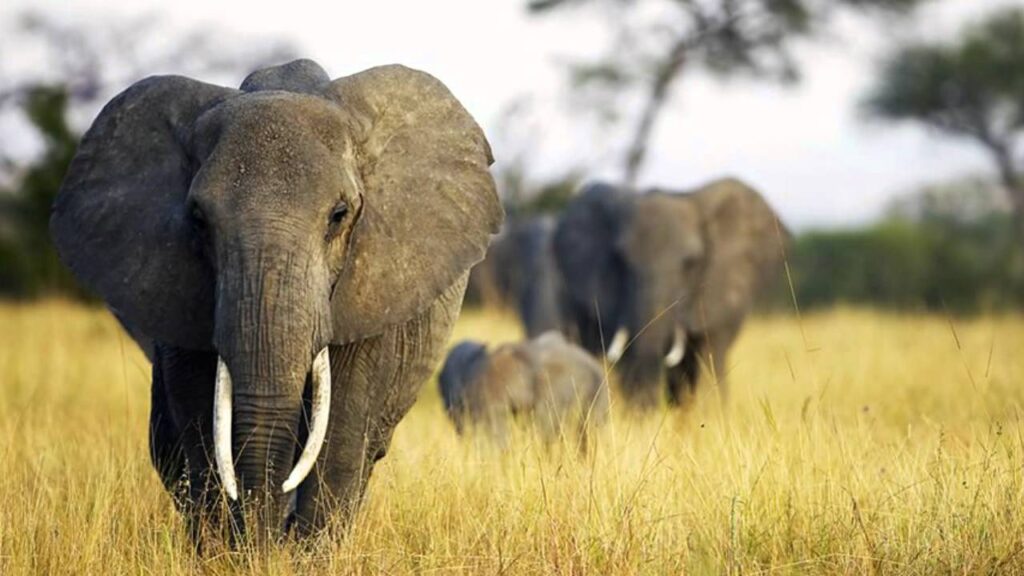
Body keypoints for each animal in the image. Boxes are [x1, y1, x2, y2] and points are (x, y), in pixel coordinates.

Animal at [49, 59, 502, 542]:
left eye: (339, 215)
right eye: (198, 220)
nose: (266, 543)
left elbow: (342, 431)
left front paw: (304, 551)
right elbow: (200, 420)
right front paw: (228, 550)